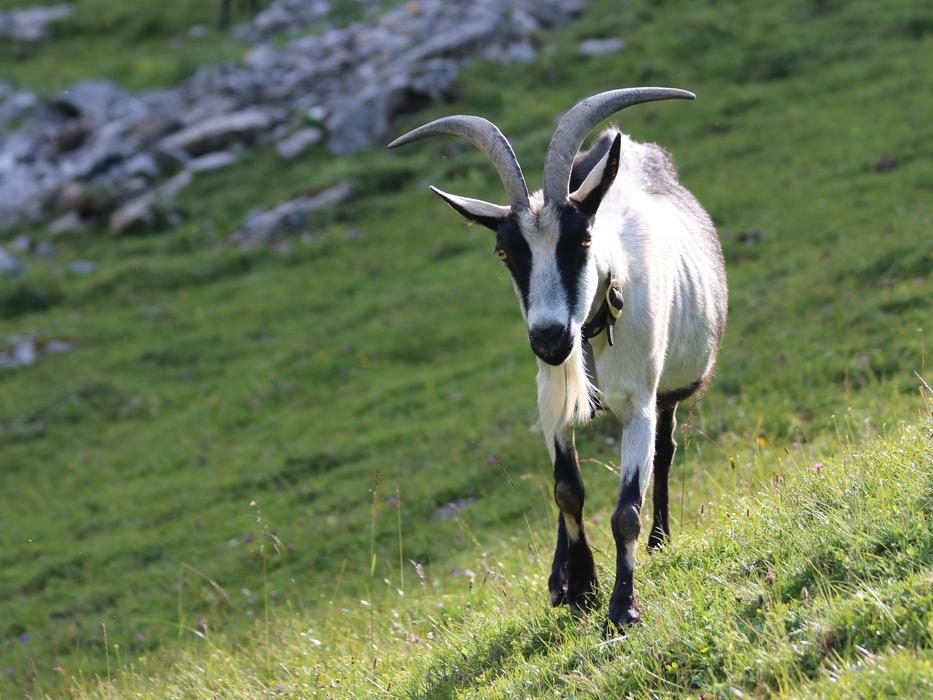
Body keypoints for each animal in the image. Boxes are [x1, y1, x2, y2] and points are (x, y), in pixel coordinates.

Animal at [388, 88, 727, 631]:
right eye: (506, 253)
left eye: (582, 240)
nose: (549, 339)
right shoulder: (551, 403)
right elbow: (567, 490)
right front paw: (580, 588)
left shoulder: (639, 403)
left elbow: (626, 510)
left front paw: (622, 609)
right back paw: (558, 577)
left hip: (670, 392)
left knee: (666, 450)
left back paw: (660, 539)